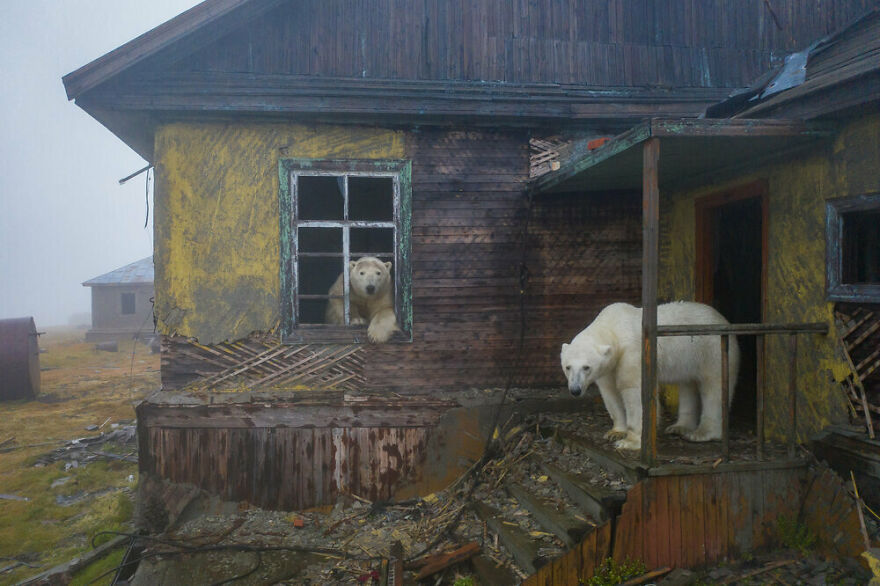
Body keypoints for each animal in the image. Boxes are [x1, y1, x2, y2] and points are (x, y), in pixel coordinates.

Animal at [560, 301, 740, 451]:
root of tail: (724, 320)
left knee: (714, 388)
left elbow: (634, 392)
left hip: (711, 350)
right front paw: (615, 432)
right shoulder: (609, 367)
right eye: (568, 367)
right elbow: (610, 392)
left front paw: (629, 442)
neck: (613, 327)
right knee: (687, 385)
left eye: (586, 367)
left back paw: (702, 433)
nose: (575, 390)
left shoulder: (632, 354)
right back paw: (679, 427)